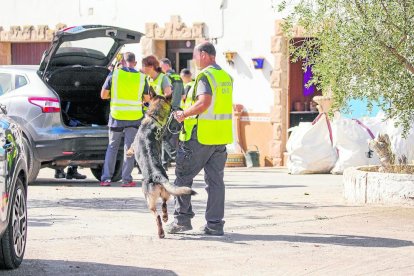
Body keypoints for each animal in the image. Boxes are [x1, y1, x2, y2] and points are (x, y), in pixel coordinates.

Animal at [133, 95, 197, 237]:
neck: (153, 119)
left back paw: (161, 232)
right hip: (166, 193)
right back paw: (166, 218)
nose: (144, 102)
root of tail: (157, 176)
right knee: (164, 205)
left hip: (149, 201)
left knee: (156, 215)